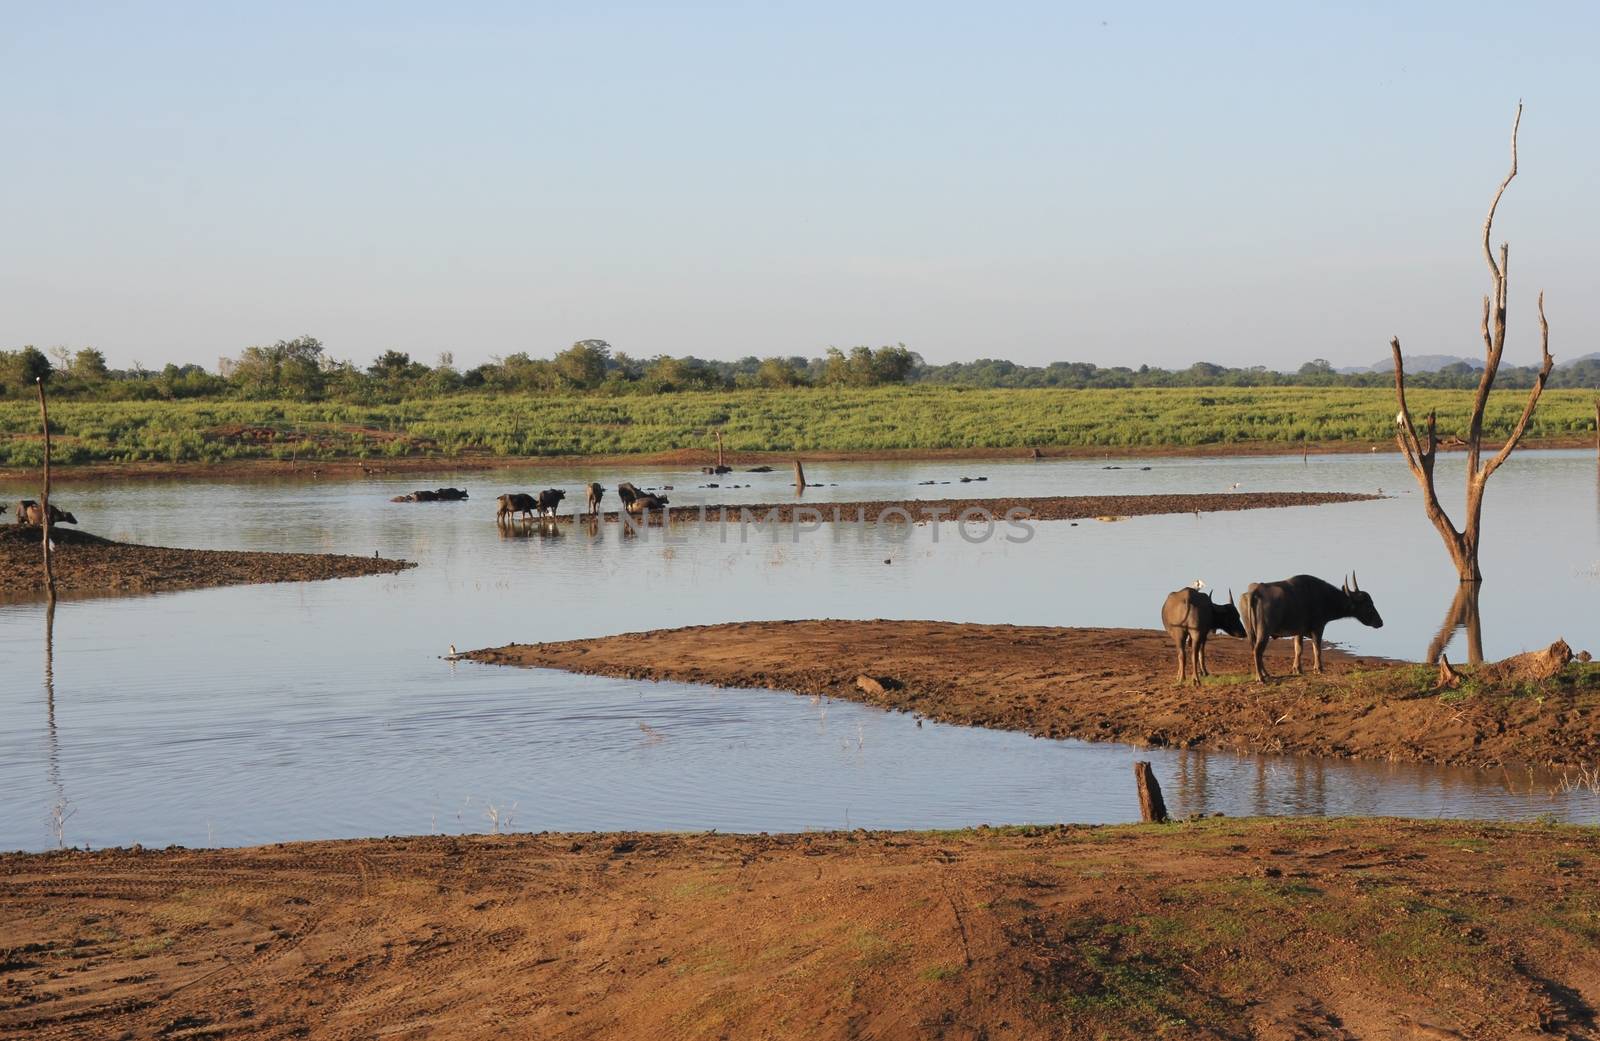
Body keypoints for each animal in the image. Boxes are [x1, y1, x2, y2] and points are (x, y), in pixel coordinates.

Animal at [1228, 569, 1382, 684]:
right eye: (1369, 604)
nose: (1380, 622)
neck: (1325, 596)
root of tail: (1255, 592)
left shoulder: (1298, 631)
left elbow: (1298, 649)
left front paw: (1298, 669)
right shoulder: (1318, 628)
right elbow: (1317, 649)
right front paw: (1319, 669)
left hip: (1251, 632)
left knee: (1254, 650)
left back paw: (1266, 674)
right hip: (1264, 632)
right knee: (1257, 651)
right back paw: (1260, 677)